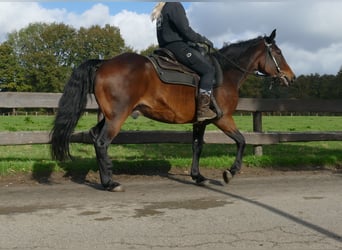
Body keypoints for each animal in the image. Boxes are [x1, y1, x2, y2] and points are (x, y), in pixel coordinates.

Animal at [49, 30, 296, 192]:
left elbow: (197, 147)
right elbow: (242, 141)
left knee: (94, 136)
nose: (291, 77)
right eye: (278, 52)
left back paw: (105, 177)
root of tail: (105, 62)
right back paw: (110, 182)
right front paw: (230, 172)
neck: (225, 74)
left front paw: (198, 177)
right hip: (117, 116)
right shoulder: (223, 119)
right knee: (102, 142)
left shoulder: (200, 122)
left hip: (109, 115)